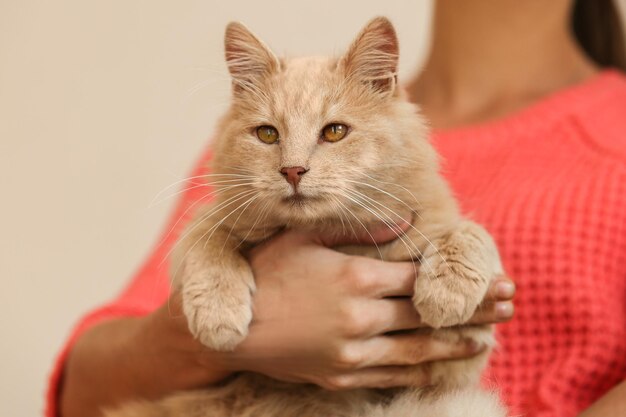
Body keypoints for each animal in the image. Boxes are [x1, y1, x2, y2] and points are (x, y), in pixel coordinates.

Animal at [107, 16, 504, 416]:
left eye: (335, 131)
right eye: (267, 134)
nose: (293, 171)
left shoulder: (458, 356)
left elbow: (469, 234)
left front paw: (446, 293)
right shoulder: (206, 225)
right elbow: (209, 241)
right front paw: (219, 315)